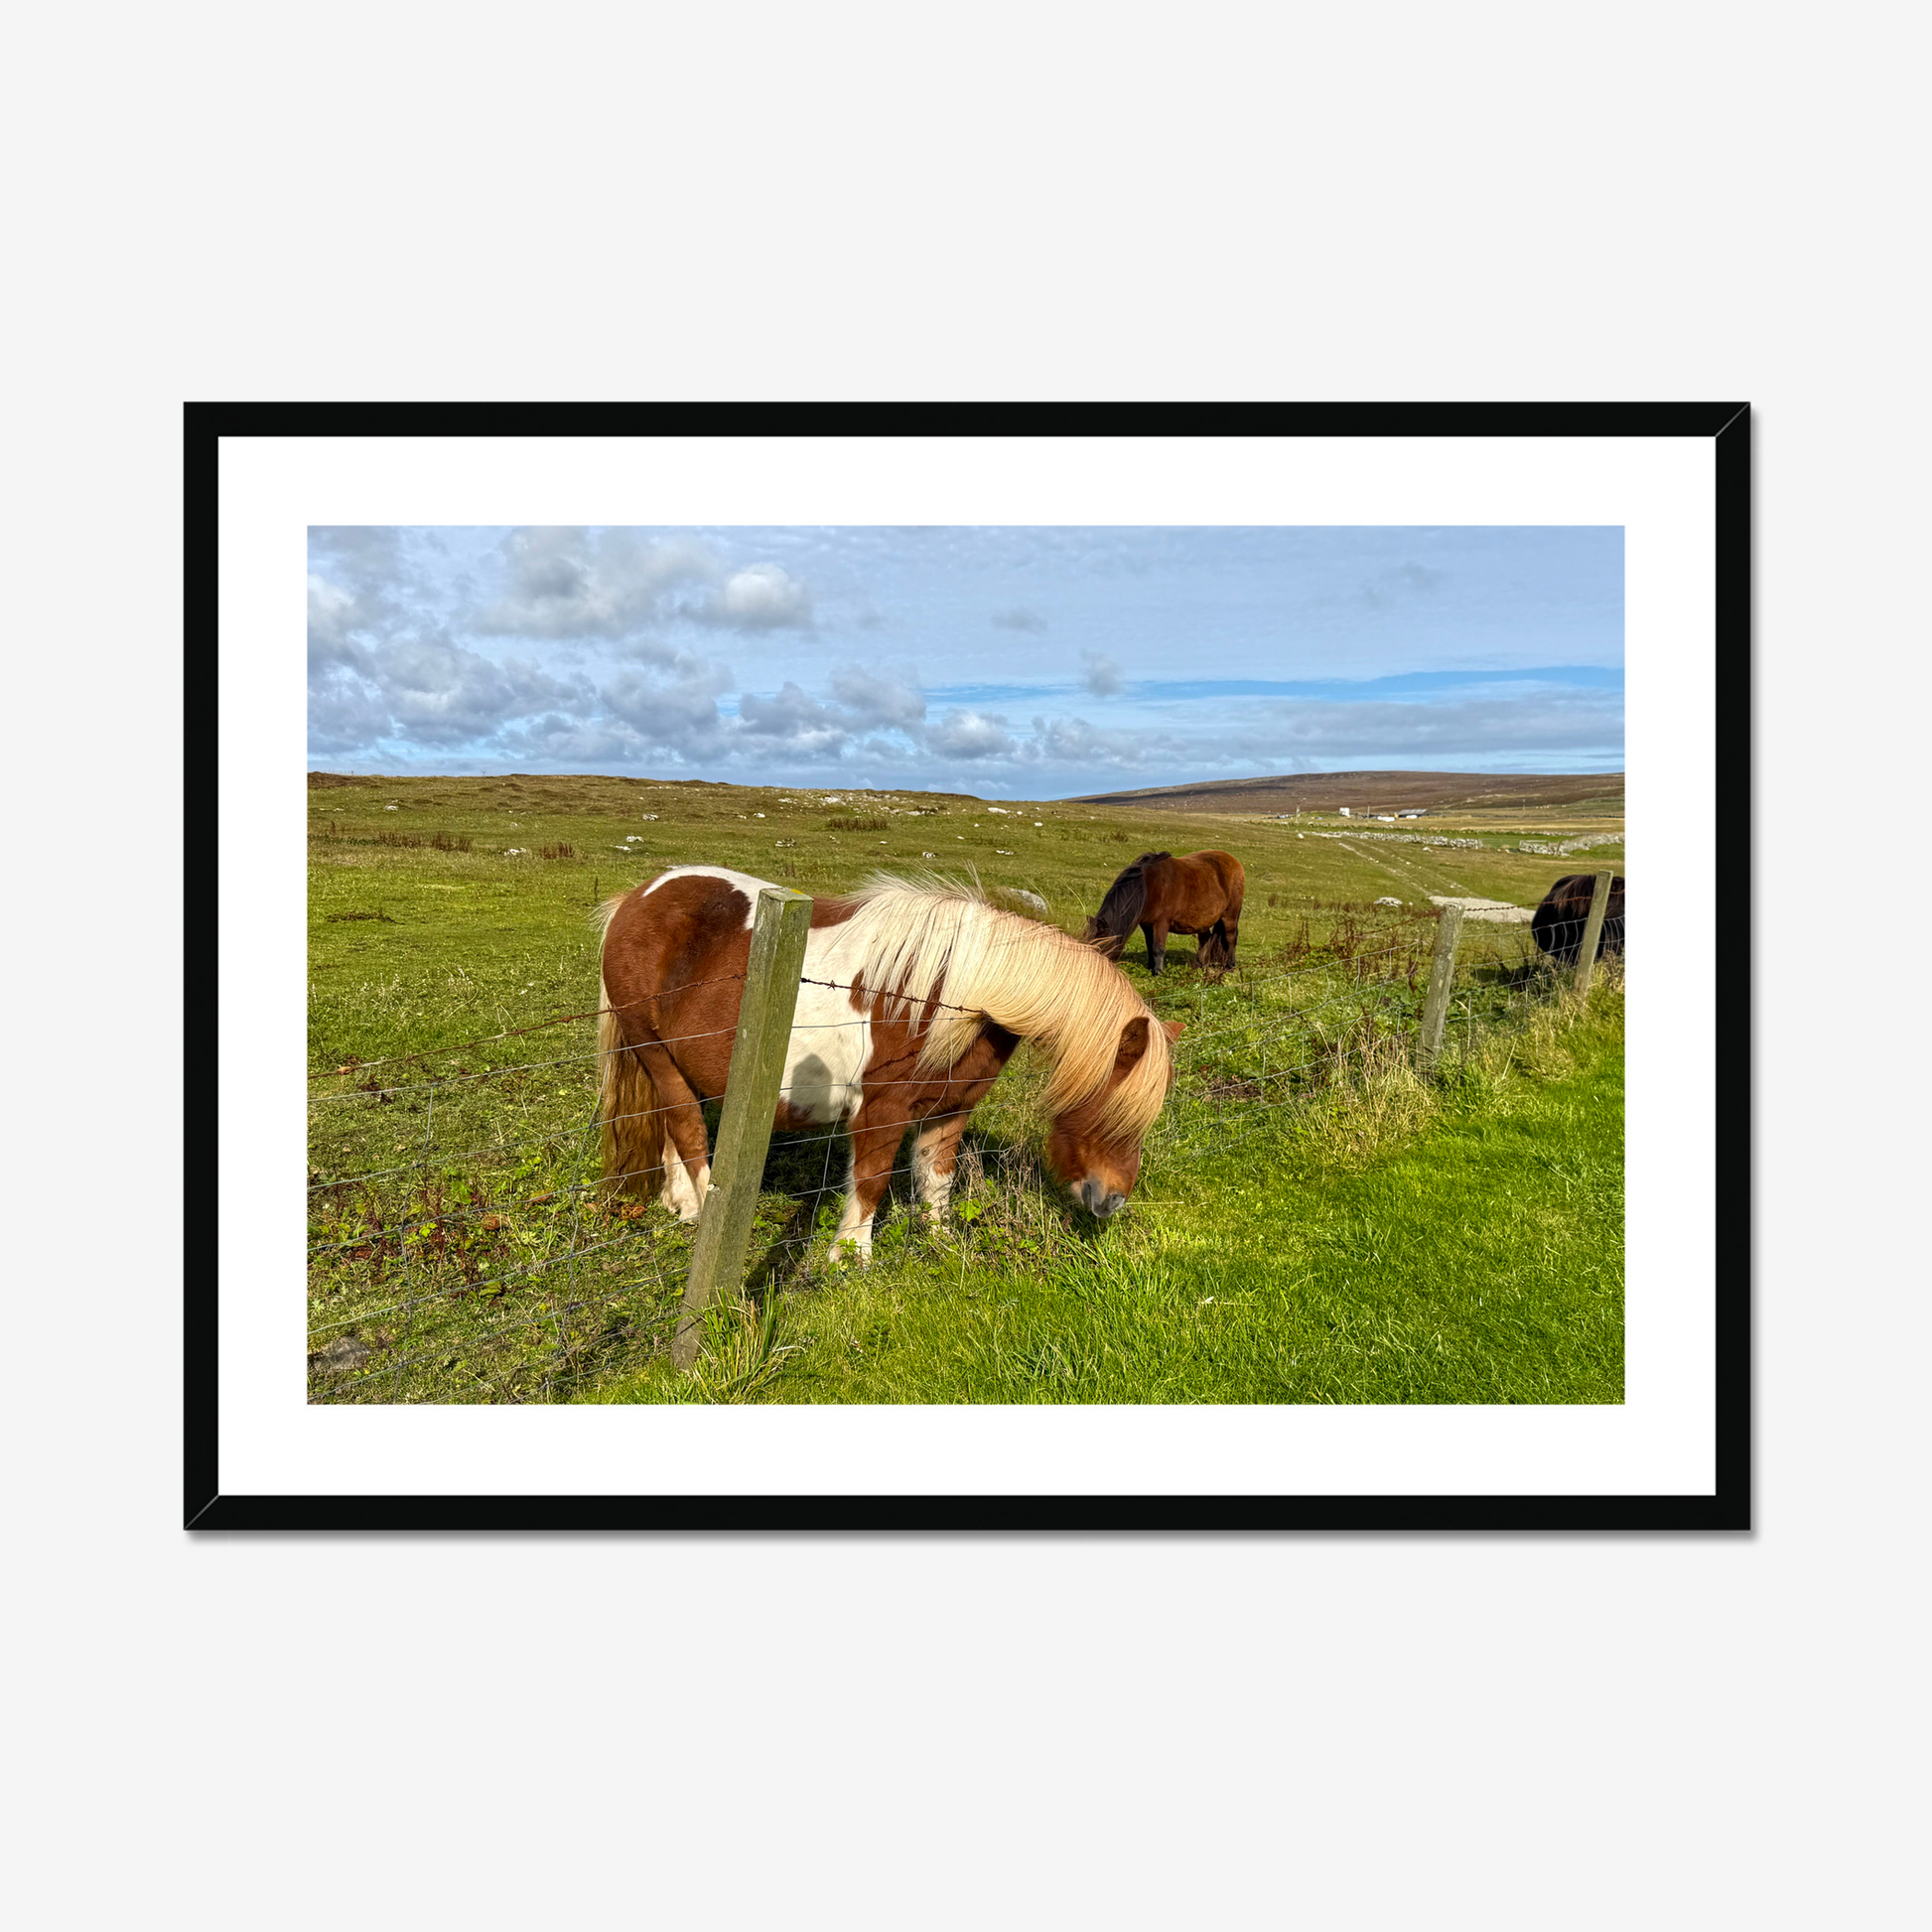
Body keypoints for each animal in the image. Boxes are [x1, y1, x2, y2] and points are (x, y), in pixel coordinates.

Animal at [595, 867, 1184, 1262]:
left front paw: (940, 1242)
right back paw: (700, 1212)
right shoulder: (881, 1111)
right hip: (654, 1053)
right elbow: (872, 1183)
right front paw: (850, 1261)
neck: (962, 994)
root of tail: (637, 898)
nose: (1112, 1202)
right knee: (689, 1131)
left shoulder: (950, 1110)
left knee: (671, 1128)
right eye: (1108, 1107)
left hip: (675, 1064)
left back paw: (679, 1203)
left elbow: (937, 1180)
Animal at [1081, 849, 1245, 975]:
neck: (1148, 886)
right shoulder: (1146, 925)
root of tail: (1235, 861)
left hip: (1230, 914)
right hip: (1203, 921)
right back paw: (1198, 965)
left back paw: (1230, 966)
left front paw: (1158, 972)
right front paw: (1150, 967)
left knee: (1231, 938)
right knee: (1205, 939)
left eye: (1100, 947)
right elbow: (1150, 945)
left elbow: (1158, 948)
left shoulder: (1161, 923)